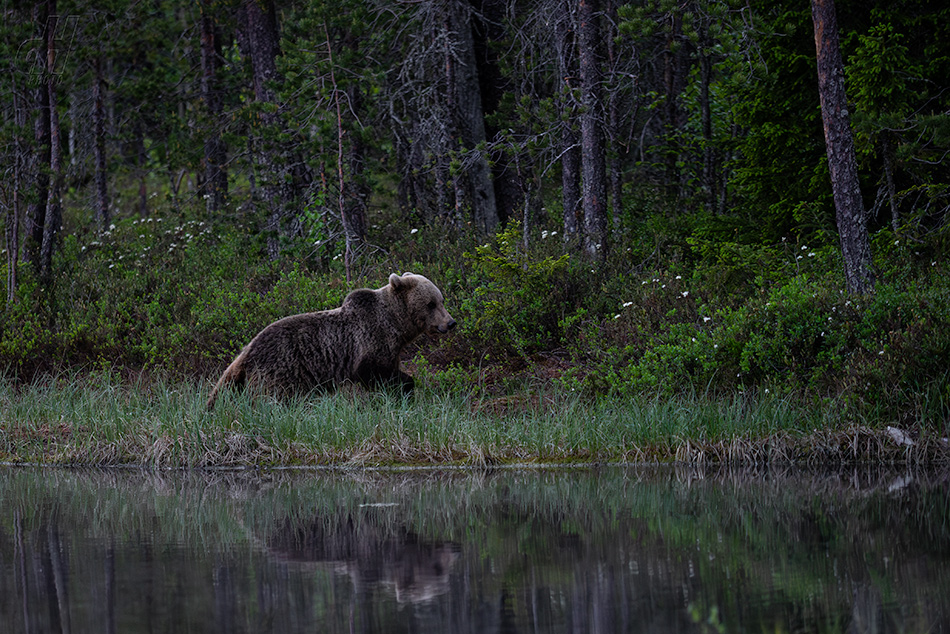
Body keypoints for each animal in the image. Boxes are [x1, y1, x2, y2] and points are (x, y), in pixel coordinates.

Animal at [207, 270, 458, 404]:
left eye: (441, 300)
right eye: (431, 303)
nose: (450, 323)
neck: (395, 323)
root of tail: (246, 351)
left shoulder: (392, 347)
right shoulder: (370, 340)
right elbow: (373, 371)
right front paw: (405, 386)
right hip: (280, 370)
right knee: (273, 398)